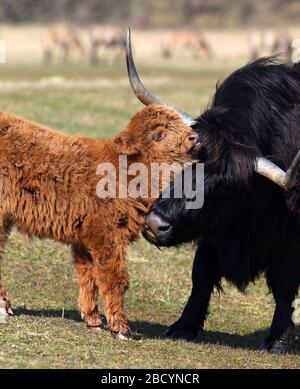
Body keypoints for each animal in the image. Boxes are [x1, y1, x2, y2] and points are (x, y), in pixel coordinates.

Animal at [0, 31, 197, 340]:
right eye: (159, 134)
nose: (193, 137)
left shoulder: (82, 236)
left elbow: (87, 274)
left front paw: (92, 319)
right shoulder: (105, 232)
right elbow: (115, 277)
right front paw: (121, 329)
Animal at [143, 58, 300, 354]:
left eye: (224, 187)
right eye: (186, 162)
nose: (155, 225)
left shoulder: (287, 240)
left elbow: (284, 286)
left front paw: (277, 341)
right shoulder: (213, 234)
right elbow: (201, 274)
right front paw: (183, 326)